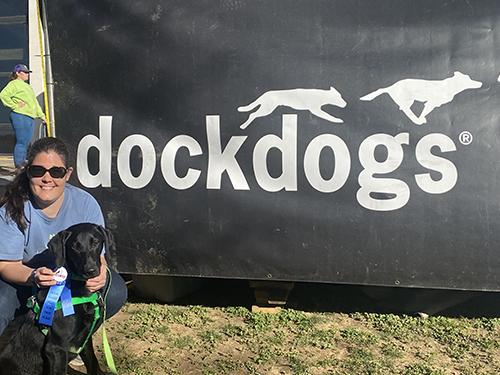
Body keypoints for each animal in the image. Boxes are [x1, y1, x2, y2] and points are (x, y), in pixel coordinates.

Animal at [0, 223, 114, 375]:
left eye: (95, 242)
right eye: (74, 246)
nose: (90, 270)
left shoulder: (86, 340)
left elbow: (93, 363)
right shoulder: (56, 348)